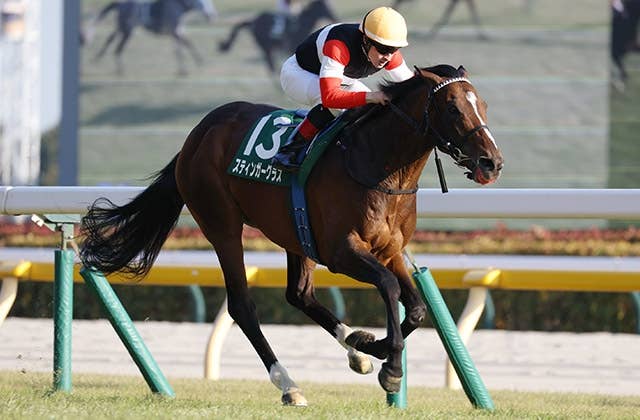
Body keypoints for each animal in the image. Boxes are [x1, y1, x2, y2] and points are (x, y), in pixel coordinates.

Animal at [79, 64, 503, 405]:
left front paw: (371, 345)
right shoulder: (342, 251)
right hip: (222, 225)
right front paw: (390, 366)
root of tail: (196, 135)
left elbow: (414, 307)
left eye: (483, 104)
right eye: (452, 107)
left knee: (298, 294)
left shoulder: (390, 250)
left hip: (295, 235)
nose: (492, 162)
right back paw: (289, 384)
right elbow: (389, 287)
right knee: (243, 307)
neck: (380, 167)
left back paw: (354, 349)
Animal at [88, 0, 217, 75]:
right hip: (126, 31)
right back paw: (120, 69)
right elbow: (185, 46)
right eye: (203, 3)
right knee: (118, 48)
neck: (178, 5)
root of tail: (120, 4)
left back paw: (99, 59)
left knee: (110, 40)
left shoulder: (177, 32)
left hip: (121, 29)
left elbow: (180, 49)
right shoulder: (175, 32)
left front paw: (184, 69)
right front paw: (192, 65)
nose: (211, 16)